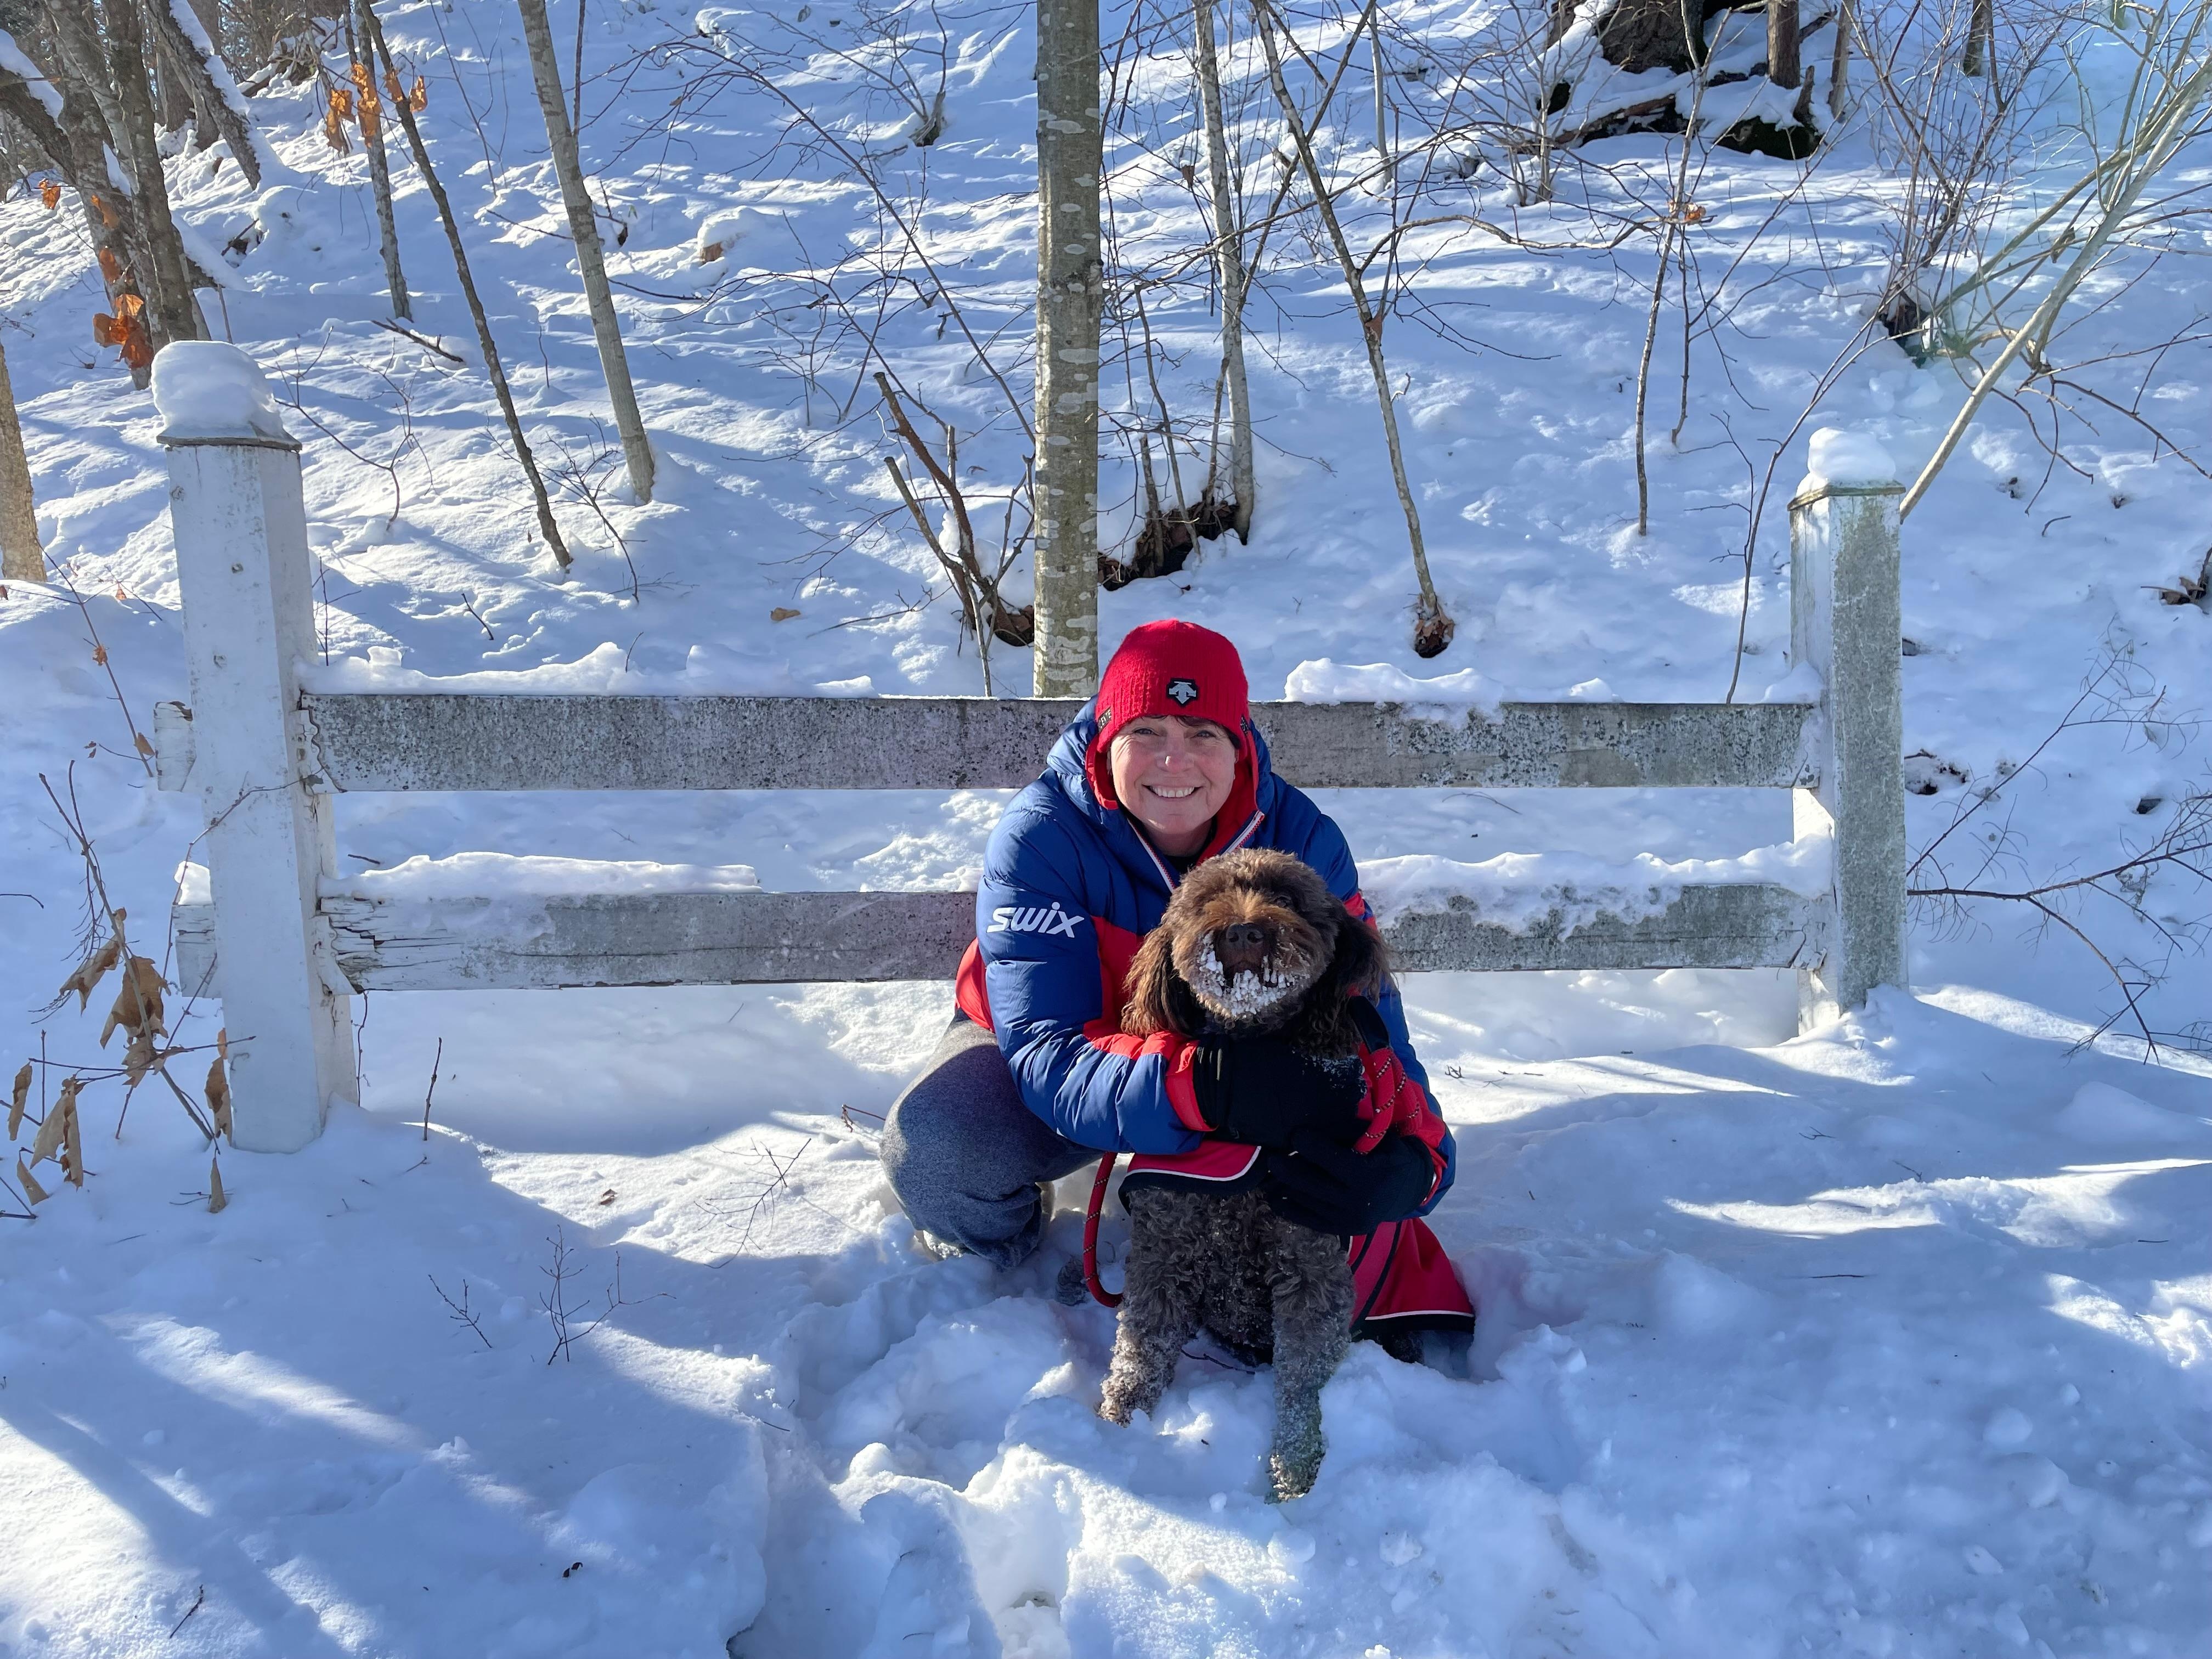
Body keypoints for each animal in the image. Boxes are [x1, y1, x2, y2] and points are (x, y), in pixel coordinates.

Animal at [1096, 847, 1395, 1501]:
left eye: (1288, 897)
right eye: (1205, 899)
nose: (1243, 933)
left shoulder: (1312, 1266)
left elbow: (1303, 1384)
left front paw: (1294, 1474)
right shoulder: (1164, 1248)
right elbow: (1140, 1349)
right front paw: (1113, 1429)